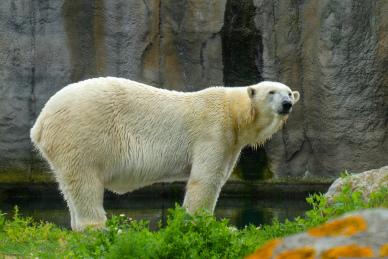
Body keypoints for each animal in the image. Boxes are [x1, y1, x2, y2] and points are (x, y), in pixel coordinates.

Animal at [30, 77, 300, 232]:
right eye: (271, 92)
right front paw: (201, 223)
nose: (287, 104)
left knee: (70, 185)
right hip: (82, 132)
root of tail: (41, 121)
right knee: (84, 180)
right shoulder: (213, 131)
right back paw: (99, 228)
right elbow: (206, 179)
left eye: (288, 92)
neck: (234, 113)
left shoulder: (231, 143)